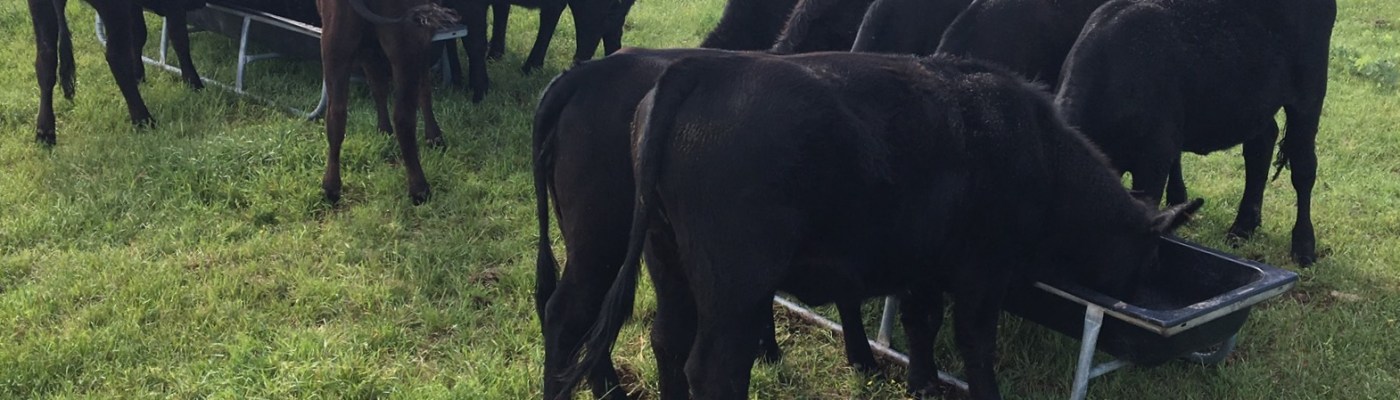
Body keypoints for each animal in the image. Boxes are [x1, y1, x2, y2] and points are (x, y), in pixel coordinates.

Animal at [316, 0, 457, 205]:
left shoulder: (368, 51)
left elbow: (378, 86)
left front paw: (383, 131)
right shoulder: (422, 40)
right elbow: (424, 90)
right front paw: (434, 137)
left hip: (335, 44)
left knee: (336, 113)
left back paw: (331, 187)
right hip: (404, 45)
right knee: (403, 116)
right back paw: (419, 189)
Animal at [1054, 0, 1335, 266]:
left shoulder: (1154, 158)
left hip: (1309, 92)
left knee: (1303, 167)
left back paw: (1303, 246)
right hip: (1254, 101)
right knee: (1261, 145)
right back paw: (1243, 227)